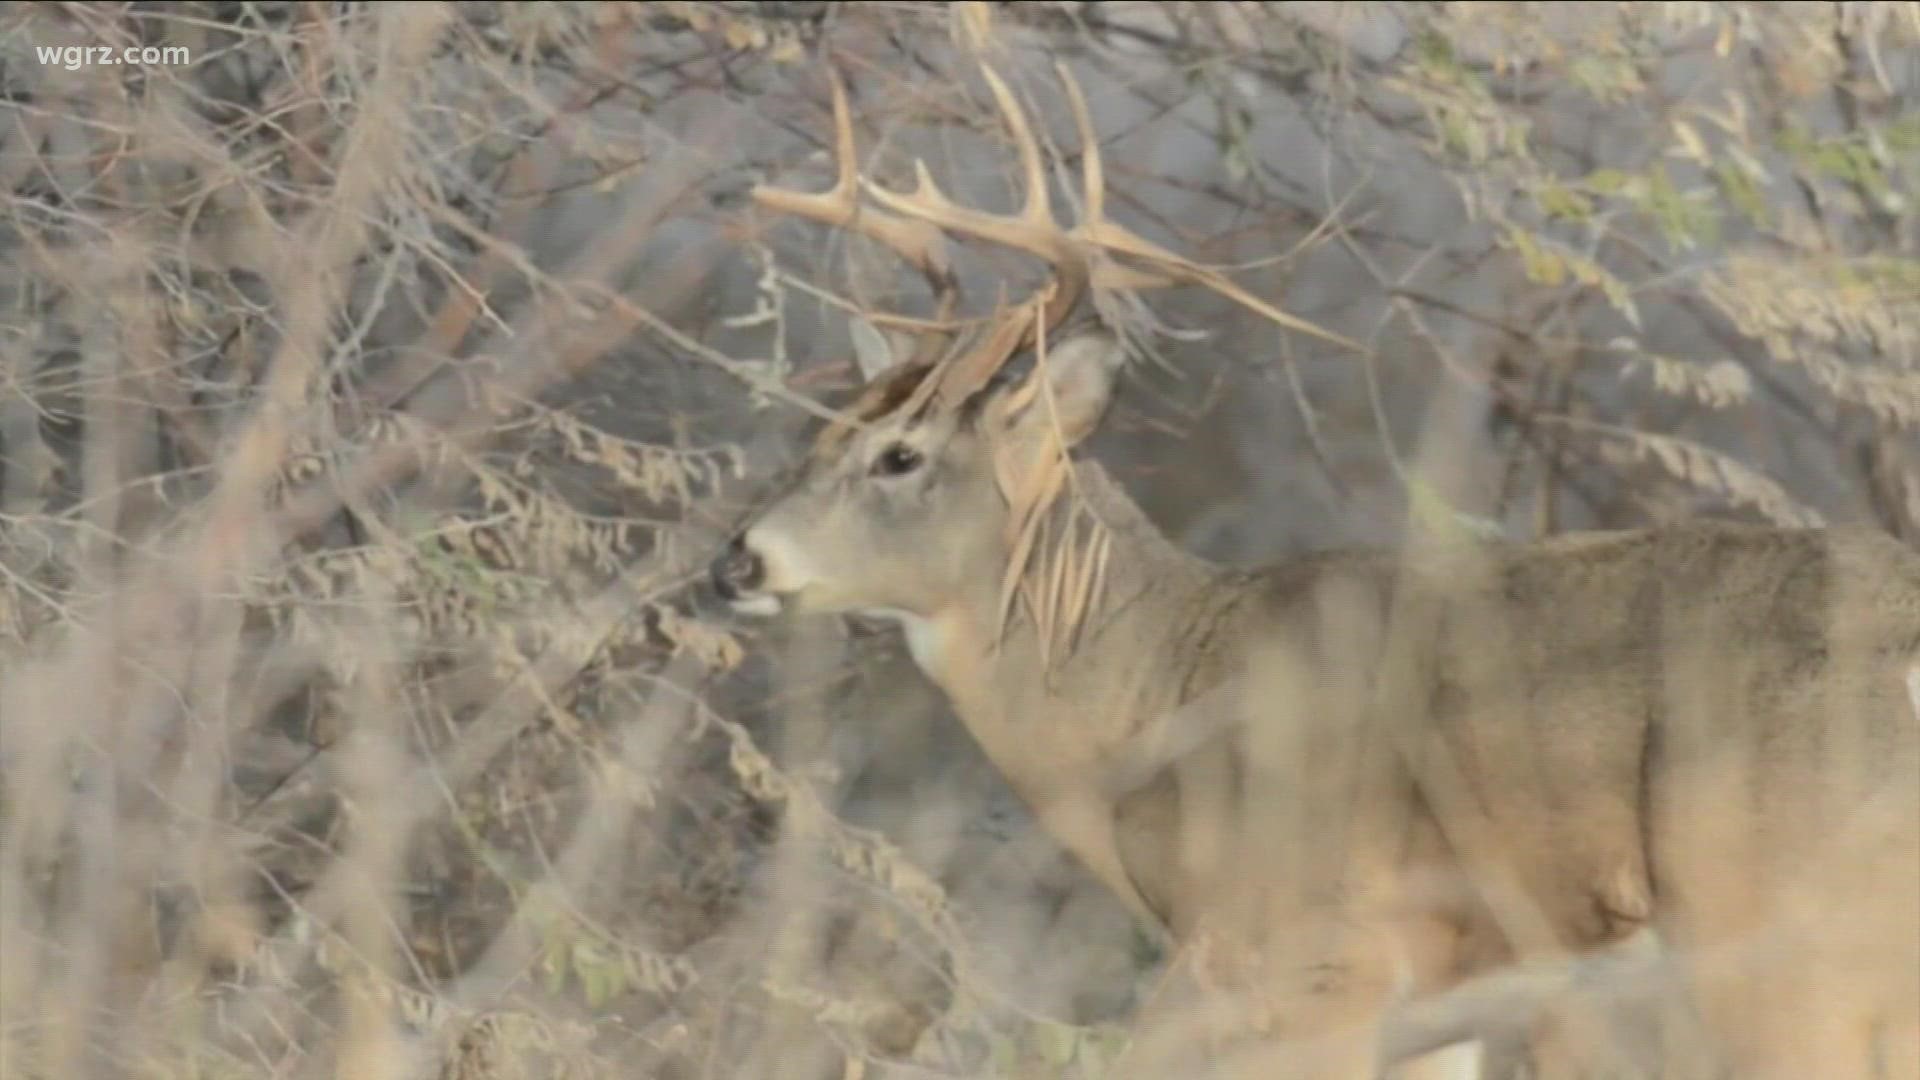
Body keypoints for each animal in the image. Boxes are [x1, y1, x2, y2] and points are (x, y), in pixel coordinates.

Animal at [710, 61, 1920, 1080]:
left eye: (898, 454)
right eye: (820, 431)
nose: (737, 559)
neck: (1152, 696)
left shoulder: (1310, 956)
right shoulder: (1436, 1008)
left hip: (1778, 934)